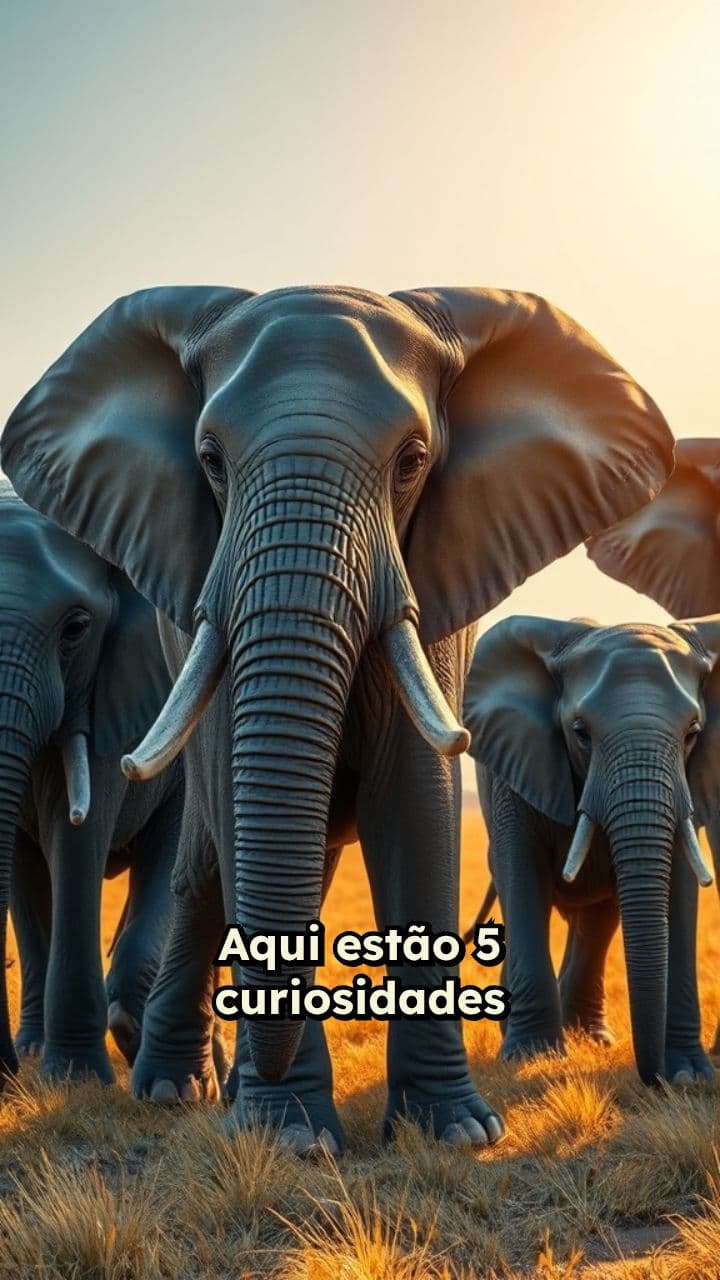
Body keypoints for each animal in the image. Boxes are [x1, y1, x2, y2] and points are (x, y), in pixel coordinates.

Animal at [463, 613, 720, 1085]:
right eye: (580, 733)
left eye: (693, 733)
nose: (652, 1079)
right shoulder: (516, 771)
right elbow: (521, 874)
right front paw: (533, 1057)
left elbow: (679, 885)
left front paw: (689, 1075)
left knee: (597, 920)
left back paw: (593, 1039)